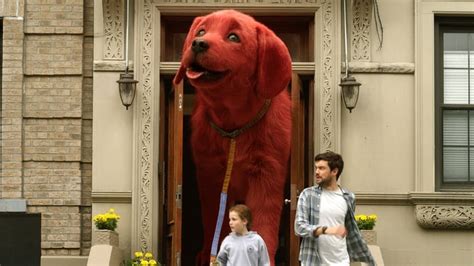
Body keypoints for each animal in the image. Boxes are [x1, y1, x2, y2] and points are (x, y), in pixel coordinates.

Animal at [174, 9, 290, 264]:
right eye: (201, 31)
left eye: (234, 37)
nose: (198, 43)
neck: (234, 129)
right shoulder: (210, 174)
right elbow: (213, 220)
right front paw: (209, 254)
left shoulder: (267, 173)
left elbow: (264, 220)